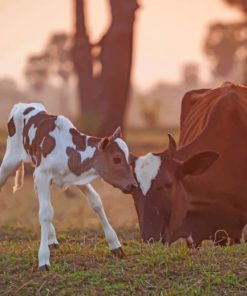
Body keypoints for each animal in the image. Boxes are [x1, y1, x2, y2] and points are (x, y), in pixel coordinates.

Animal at [0, 103, 137, 270]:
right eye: (117, 159)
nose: (133, 185)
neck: (66, 149)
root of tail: (22, 105)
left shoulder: (76, 176)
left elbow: (96, 202)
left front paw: (114, 244)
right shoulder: (43, 174)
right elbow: (46, 212)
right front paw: (43, 258)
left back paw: (52, 238)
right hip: (11, 160)